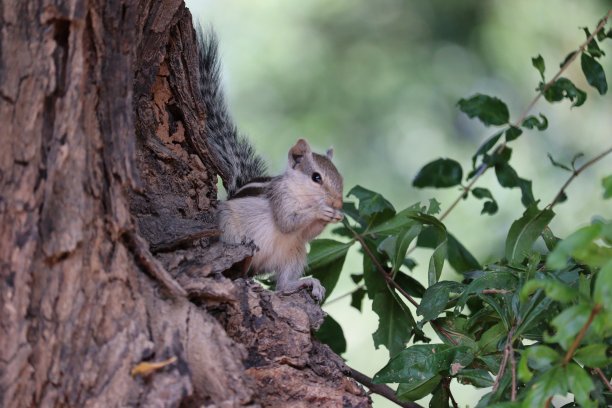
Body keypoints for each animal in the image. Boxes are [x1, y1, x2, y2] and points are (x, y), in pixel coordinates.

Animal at [198, 27, 346, 302]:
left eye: (341, 179)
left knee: (282, 285)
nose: (338, 203)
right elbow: (287, 222)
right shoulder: (280, 198)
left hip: (294, 253)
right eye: (316, 177)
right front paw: (321, 211)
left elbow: (306, 232)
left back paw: (306, 283)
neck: (301, 194)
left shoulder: (301, 236)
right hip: (233, 233)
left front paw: (333, 216)